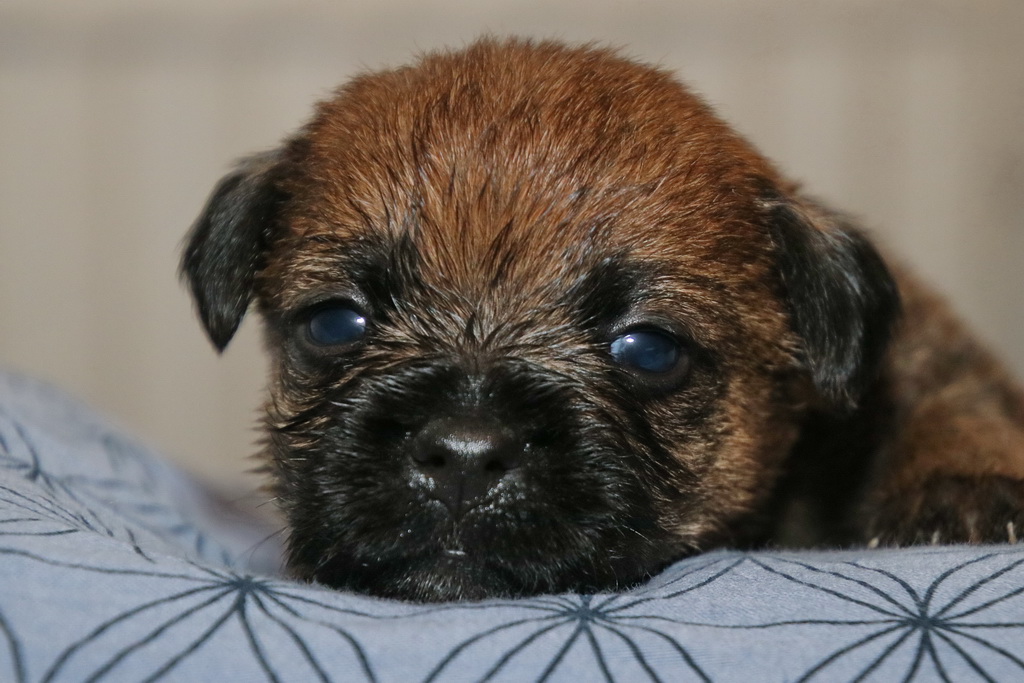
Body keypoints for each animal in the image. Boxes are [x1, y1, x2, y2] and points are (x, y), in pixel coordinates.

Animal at [182, 38, 1024, 601]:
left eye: (649, 349)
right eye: (335, 324)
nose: (464, 452)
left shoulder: (919, 355)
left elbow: (951, 393)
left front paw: (964, 487)